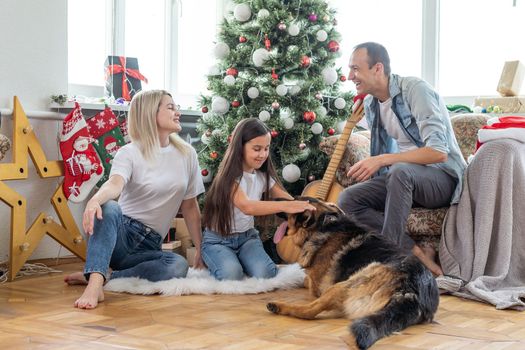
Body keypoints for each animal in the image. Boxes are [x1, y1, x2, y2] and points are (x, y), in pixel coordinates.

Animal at [266, 198, 438, 348]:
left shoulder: (316, 287)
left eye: (292, 200)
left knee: (309, 311)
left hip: (343, 286)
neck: (323, 225)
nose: (273, 200)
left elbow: (305, 281)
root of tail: (411, 292)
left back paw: (278, 306)